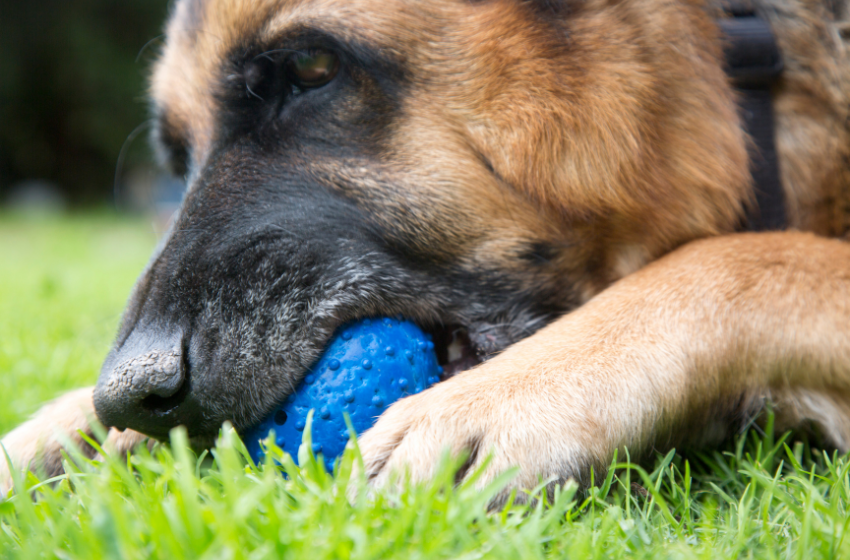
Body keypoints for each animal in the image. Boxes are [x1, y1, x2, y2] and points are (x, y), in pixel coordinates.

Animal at [1, 0, 848, 500]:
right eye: (179, 157)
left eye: (312, 66)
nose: (127, 393)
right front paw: (65, 427)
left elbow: (744, 258)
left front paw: (502, 399)